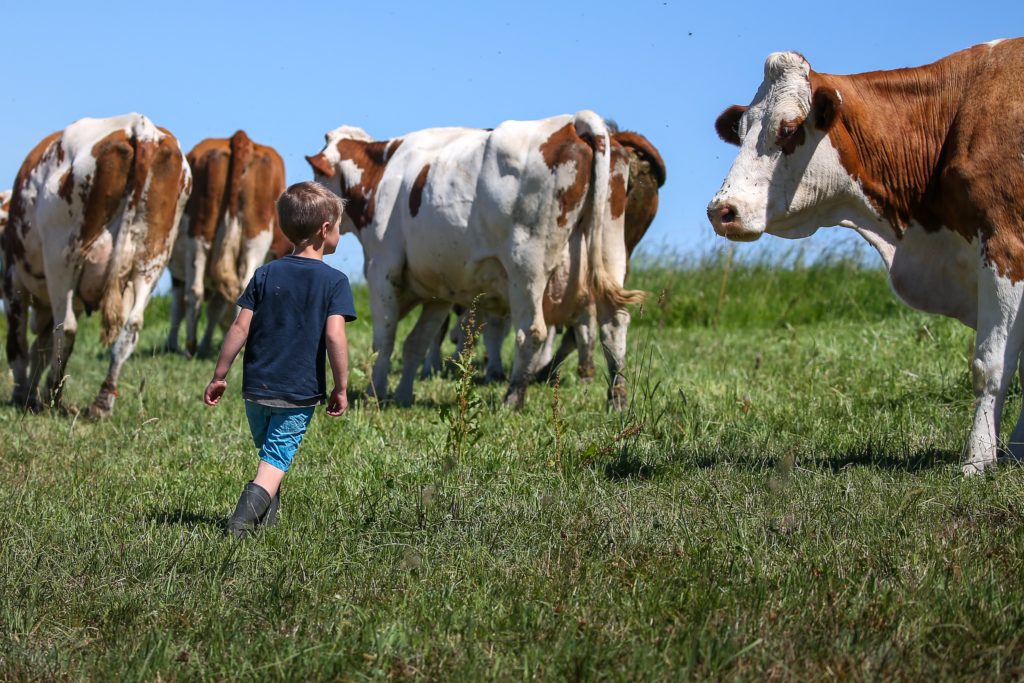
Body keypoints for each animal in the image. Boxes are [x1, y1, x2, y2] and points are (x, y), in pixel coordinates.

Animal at [3, 113, 192, 417]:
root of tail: (141, 129)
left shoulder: (13, 282)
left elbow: (19, 344)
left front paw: (23, 394)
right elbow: (39, 347)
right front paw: (31, 392)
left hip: (63, 258)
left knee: (65, 328)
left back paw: (55, 395)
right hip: (152, 261)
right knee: (130, 328)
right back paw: (101, 402)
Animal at [165, 127, 284, 356]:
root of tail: (239, 137)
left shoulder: (177, 271)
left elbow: (179, 305)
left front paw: (174, 343)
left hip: (199, 236)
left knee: (194, 291)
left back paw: (191, 346)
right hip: (255, 235)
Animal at [303, 110, 643, 409]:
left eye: (317, 174)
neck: (384, 171)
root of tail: (572, 123)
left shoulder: (382, 270)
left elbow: (384, 339)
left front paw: (376, 392)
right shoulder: (439, 289)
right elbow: (417, 342)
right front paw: (402, 396)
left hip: (527, 265)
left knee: (532, 331)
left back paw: (513, 398)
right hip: (610, 250)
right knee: (613, 325)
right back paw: (617, 398)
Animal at [708, 38, 1024, 475]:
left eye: (787, 129)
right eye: (739, 133)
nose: (722, 210)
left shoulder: (1005, 245)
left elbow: (990, 365)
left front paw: (977, 461)